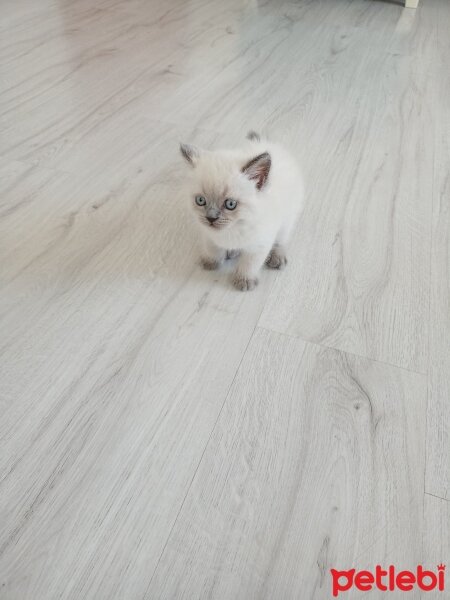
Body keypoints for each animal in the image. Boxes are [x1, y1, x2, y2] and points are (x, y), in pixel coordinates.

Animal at [178, 131, 302, 290]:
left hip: (287, 218)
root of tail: (268, 143)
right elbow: (213, 249)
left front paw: (244, 280)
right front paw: (211, 261)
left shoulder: (259, 244)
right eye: (200, 201)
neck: (232, 229)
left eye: (230, 204)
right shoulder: (209, 235)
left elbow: (249, 264)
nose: (211, 218)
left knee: (282, 239)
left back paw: (277, 257)